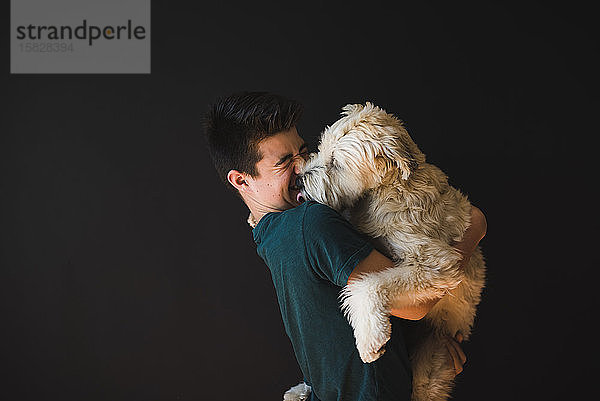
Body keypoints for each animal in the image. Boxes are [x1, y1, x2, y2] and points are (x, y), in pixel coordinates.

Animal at [286, 103, 488, 400]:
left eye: (336, 162)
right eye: (321, 148)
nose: (299, 182)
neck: (386, 190)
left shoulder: (436, 263)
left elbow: (368, 285)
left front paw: (371, 339)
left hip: (429, 363)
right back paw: (299, 390)